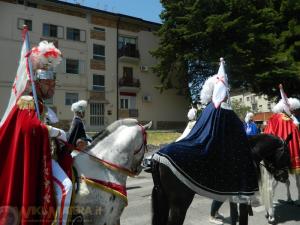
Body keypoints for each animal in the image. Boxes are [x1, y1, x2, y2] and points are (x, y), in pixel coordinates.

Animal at [151, 134, 292, 225]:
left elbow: (234, 216)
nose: (284, 176)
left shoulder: (233, 195)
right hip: (180, 203)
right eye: (286, 154)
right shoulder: (243, 197)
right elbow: (242, 218)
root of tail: (157, 156)